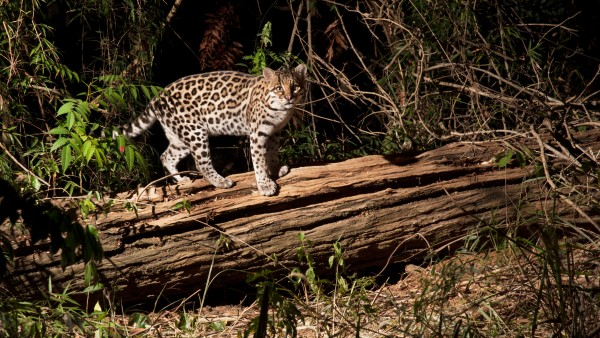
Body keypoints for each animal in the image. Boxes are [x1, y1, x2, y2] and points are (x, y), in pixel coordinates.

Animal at [111, 64, 310, 195]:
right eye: (279, 88)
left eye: (295, 87)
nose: (289, 98)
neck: (280, 111)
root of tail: (158, 95)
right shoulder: (257, 134)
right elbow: (259, 160)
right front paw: (265, 184)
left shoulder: (275, 133)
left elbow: (272, 153)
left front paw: (275, 169)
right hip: (195, 132)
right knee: (201, 163)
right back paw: (221, 181)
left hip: (179, 137)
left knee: (166, 155)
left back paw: (181, 180)